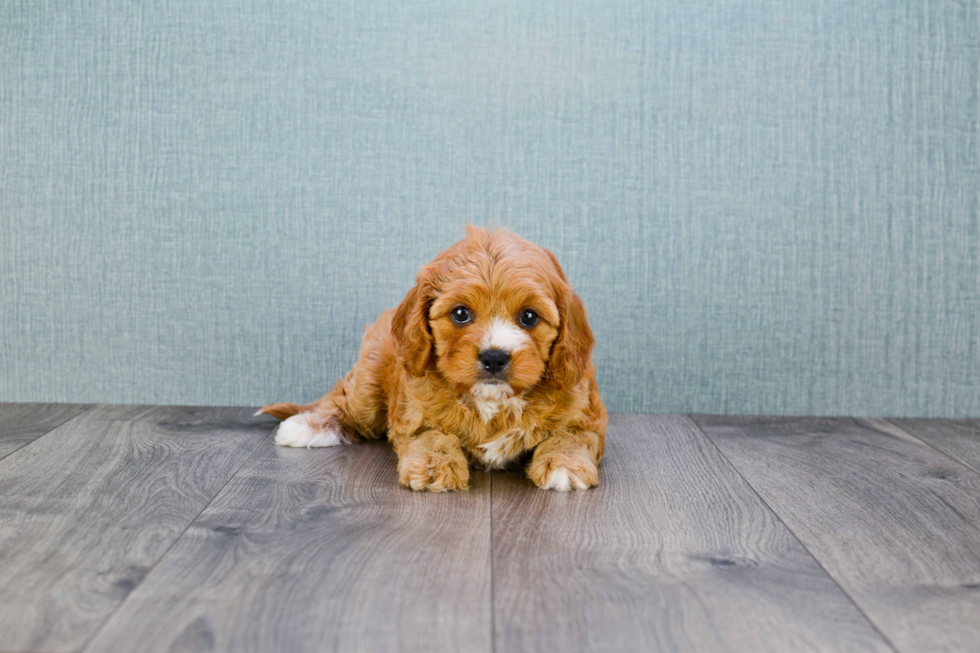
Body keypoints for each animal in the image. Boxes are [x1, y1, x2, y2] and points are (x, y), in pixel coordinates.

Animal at [256, 225, 604, 488]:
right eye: (461, 314)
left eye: (529, 317)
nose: (494, 357)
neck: (492, 401)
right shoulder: (414, 410)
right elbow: (431, 436)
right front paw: (433, 467)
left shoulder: (584, 414)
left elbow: (571, 437)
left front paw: (564, 466)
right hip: (369, 382)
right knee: (345, 404)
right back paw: (307, 425)